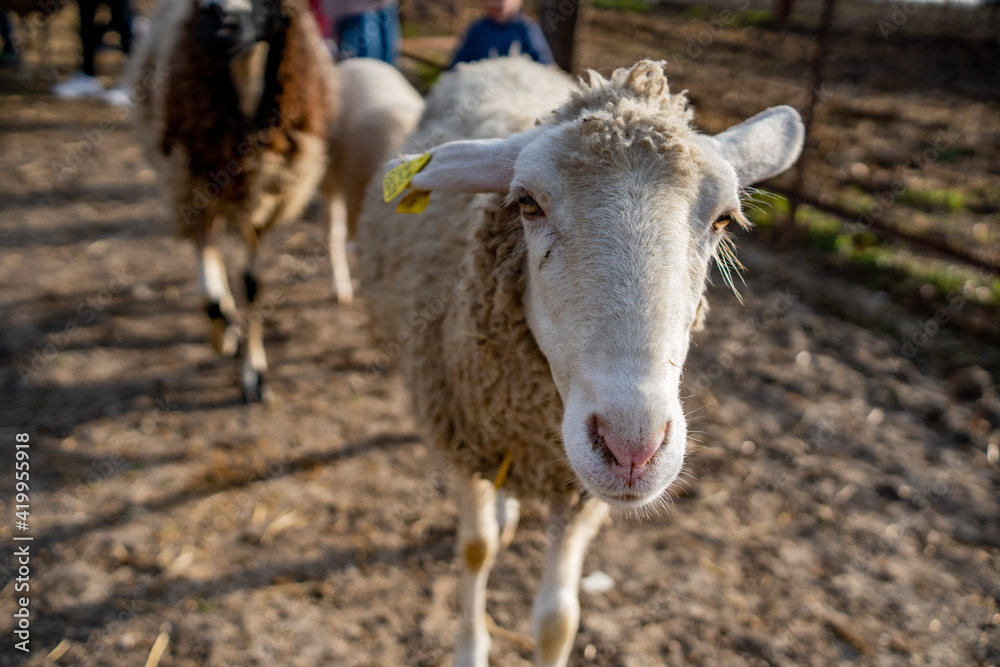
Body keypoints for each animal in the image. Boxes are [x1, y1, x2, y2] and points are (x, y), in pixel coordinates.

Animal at [127, 0, 421, 401]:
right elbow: (210, 294)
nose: (218, 18)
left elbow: (252, 283)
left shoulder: (268, 205)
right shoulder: (191, 194)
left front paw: (253, 370)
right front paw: (224, 338)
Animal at [357, 57, 805, 667]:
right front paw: (470, 648)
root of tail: (507, 56)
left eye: (723, 221)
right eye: (527, 203)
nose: (632, 448)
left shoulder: (573, 491)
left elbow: (557, 622)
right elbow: (475, 550)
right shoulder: (467, 439)